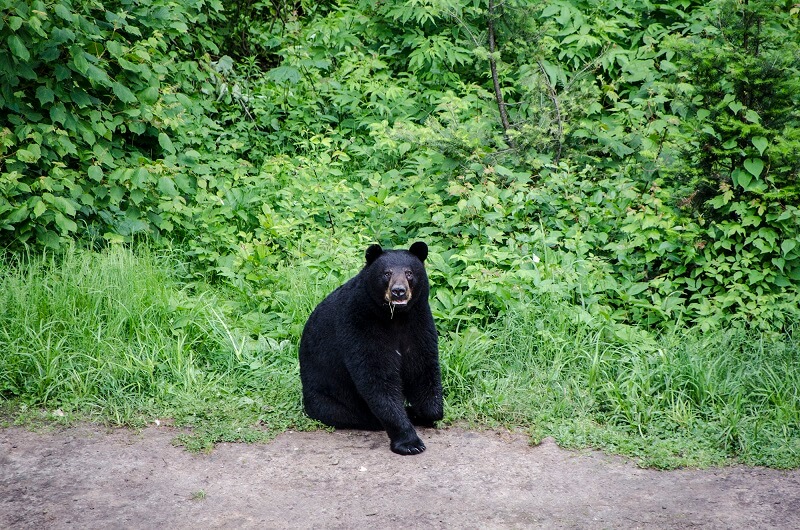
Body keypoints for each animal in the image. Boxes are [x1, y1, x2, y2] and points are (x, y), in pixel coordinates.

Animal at [298, 241, 440, 452]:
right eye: (387, 273)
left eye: (409, 272)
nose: (399, 291)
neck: (395, 317)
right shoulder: (359, 322)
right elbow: (376, 375)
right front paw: (410, 442)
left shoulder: (418, 321)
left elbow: (422, 365)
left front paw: (427, 412)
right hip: (328, 398)